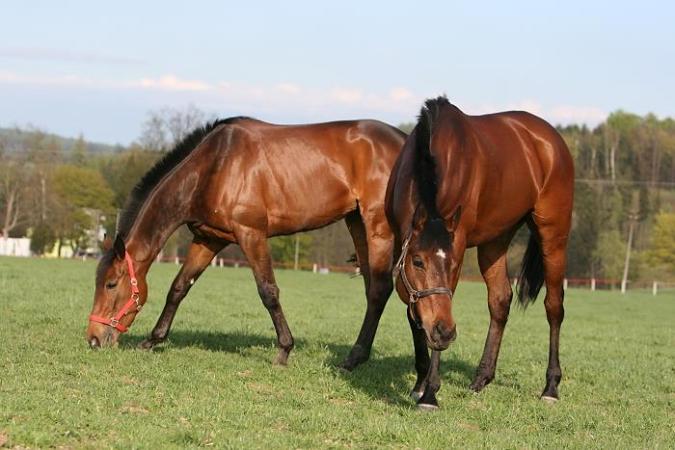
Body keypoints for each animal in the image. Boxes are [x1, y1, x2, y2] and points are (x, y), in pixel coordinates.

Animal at [90, 116, 406, 370]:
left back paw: (354, 359)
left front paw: (284, 350)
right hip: (356, 222)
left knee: (380, 289)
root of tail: (403, 139)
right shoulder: (208, 239)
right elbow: (178, 288)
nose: (93, 339)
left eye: (111, 284)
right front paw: (153, 340)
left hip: (378, 226)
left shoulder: (251, 234)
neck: (213, 166)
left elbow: (268, 291)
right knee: (373, 289)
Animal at [386, 96, 576, 410]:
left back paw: (550, 387)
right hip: (495, 241)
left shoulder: (458, 240)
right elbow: (414, 312)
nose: (445, 332)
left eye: (453, 266)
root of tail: (551, 140)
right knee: (500, 301)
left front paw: (430, 393)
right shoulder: (400, 243)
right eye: (418, 261)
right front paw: (420, 384)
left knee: (554, 306)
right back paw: (481, 379)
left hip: (554, 237)